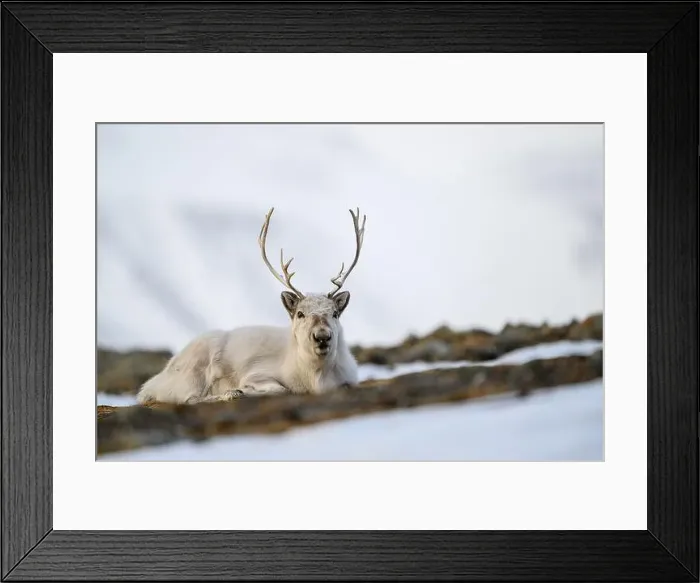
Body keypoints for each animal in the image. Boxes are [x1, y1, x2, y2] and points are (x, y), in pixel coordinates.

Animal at [136, 207, 366, 405]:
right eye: (300, 313)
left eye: (335, 313)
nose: (322, 336)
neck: (314, 377)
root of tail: (153, 383)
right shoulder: (258, 373)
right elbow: (280, 389)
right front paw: (241, 390)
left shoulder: (349, 379)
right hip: (193, 372)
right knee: (189, 398)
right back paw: (229, 393)